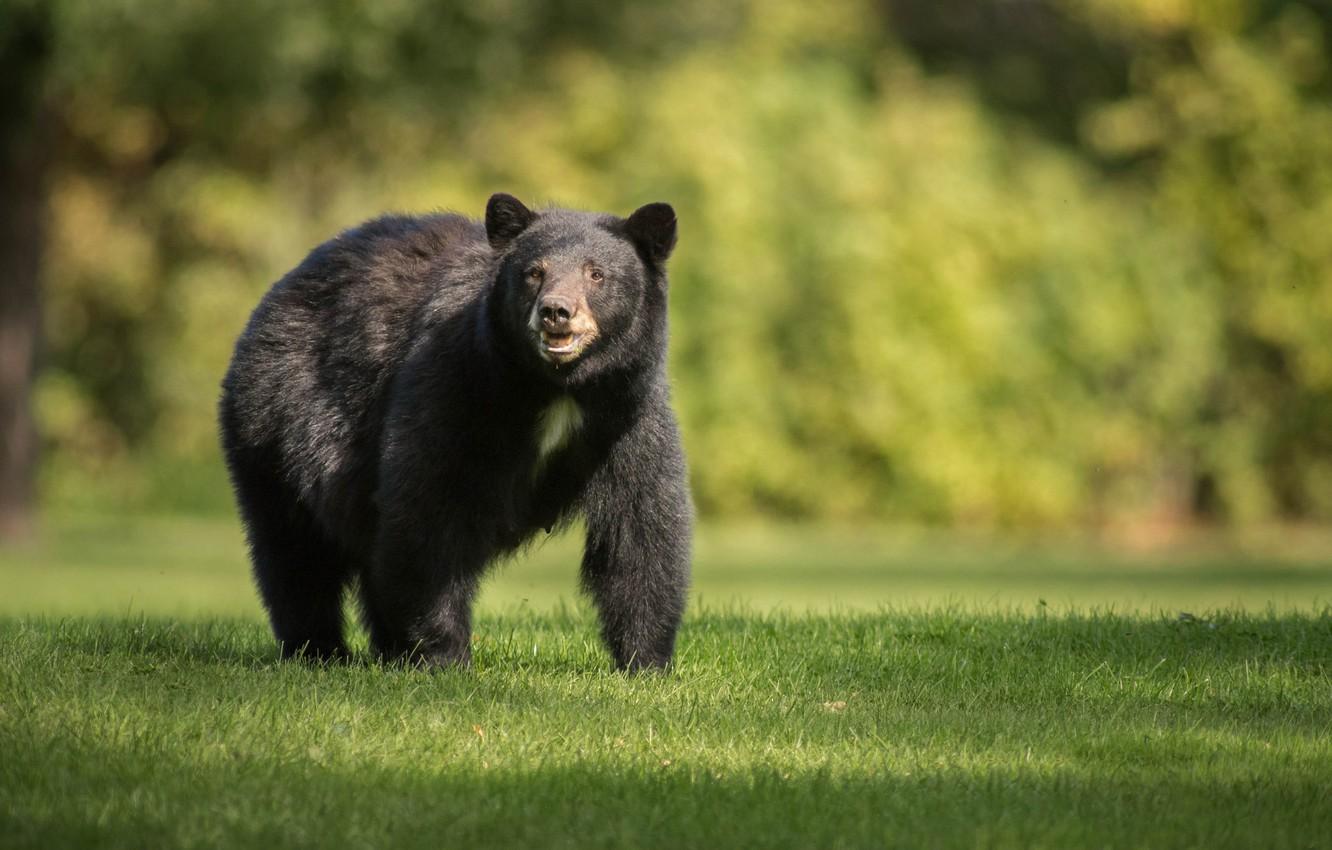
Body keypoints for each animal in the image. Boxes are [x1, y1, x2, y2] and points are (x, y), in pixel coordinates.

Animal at [218, 194, 692, 671]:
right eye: (534, 272)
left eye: (596, 273)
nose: (556, 311)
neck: (556, 389)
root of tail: (281, 290)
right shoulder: (457, 384)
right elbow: (430, 509)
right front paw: (446, 656)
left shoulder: (625, 411)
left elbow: (640, 523)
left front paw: (646, 661)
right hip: (276, 425)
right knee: (297, 552)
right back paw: (319, 649)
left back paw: (387, 649)